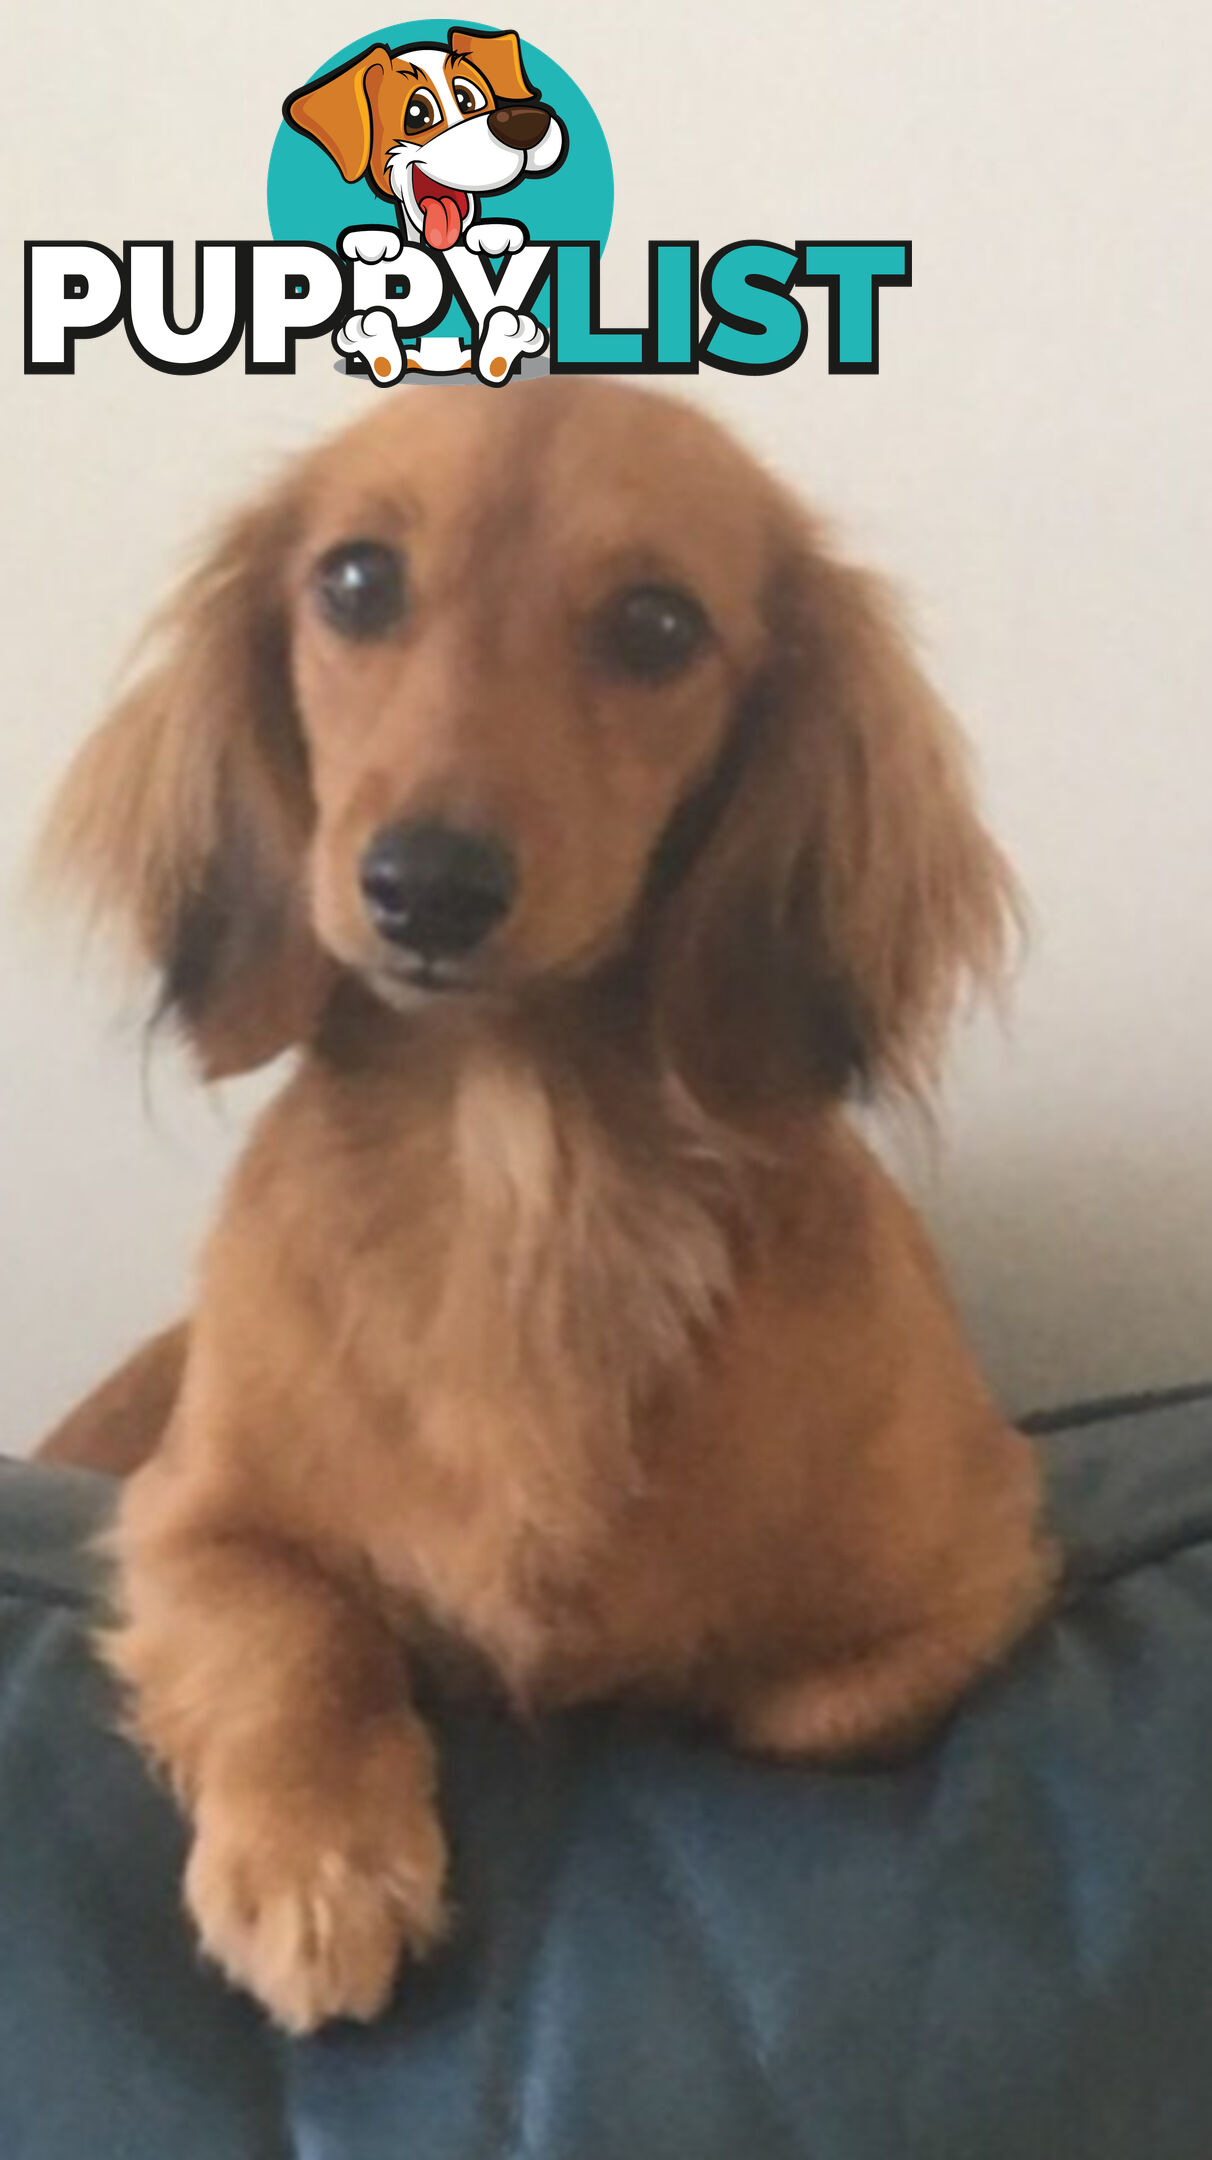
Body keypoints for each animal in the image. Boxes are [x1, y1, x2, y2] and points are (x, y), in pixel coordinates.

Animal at [40, 380, 1049, 2030]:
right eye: (355, 581)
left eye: (655, 624)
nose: (426, 886)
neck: (518, 1173)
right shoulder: (185, 1523)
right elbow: (291, 1638)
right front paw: (316, 1865)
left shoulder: (976, 1577)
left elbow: (795, 1705)